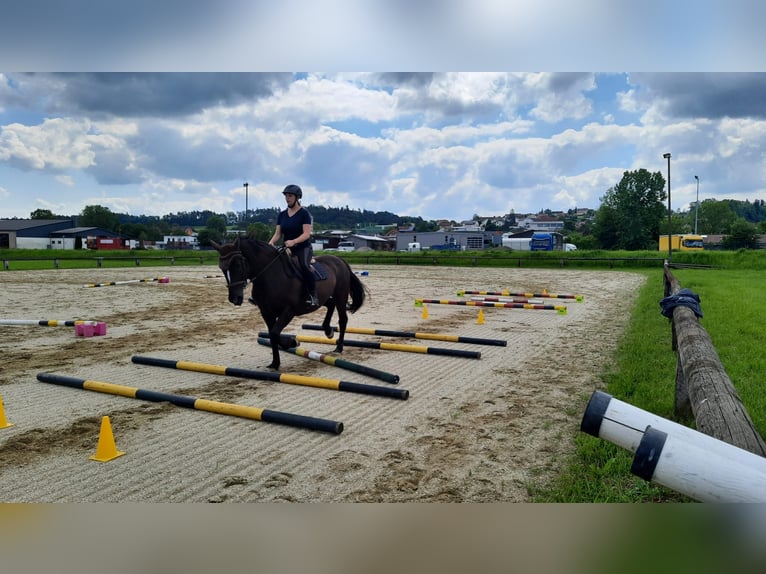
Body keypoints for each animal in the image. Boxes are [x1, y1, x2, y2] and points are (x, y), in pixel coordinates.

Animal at [208, 236, 368, 372]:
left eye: (237, 265)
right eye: (222, 268)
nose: (234, 298)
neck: (272, 276)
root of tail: (339, 260)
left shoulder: (288, 311)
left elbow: (274, 333)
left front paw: (292, 342)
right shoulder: (266, 312)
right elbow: (272, 335)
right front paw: (275, 363)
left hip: (341, 296)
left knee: (343, 319)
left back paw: (339, 348)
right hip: (326, 297)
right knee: (329, 306)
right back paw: (328, 331)